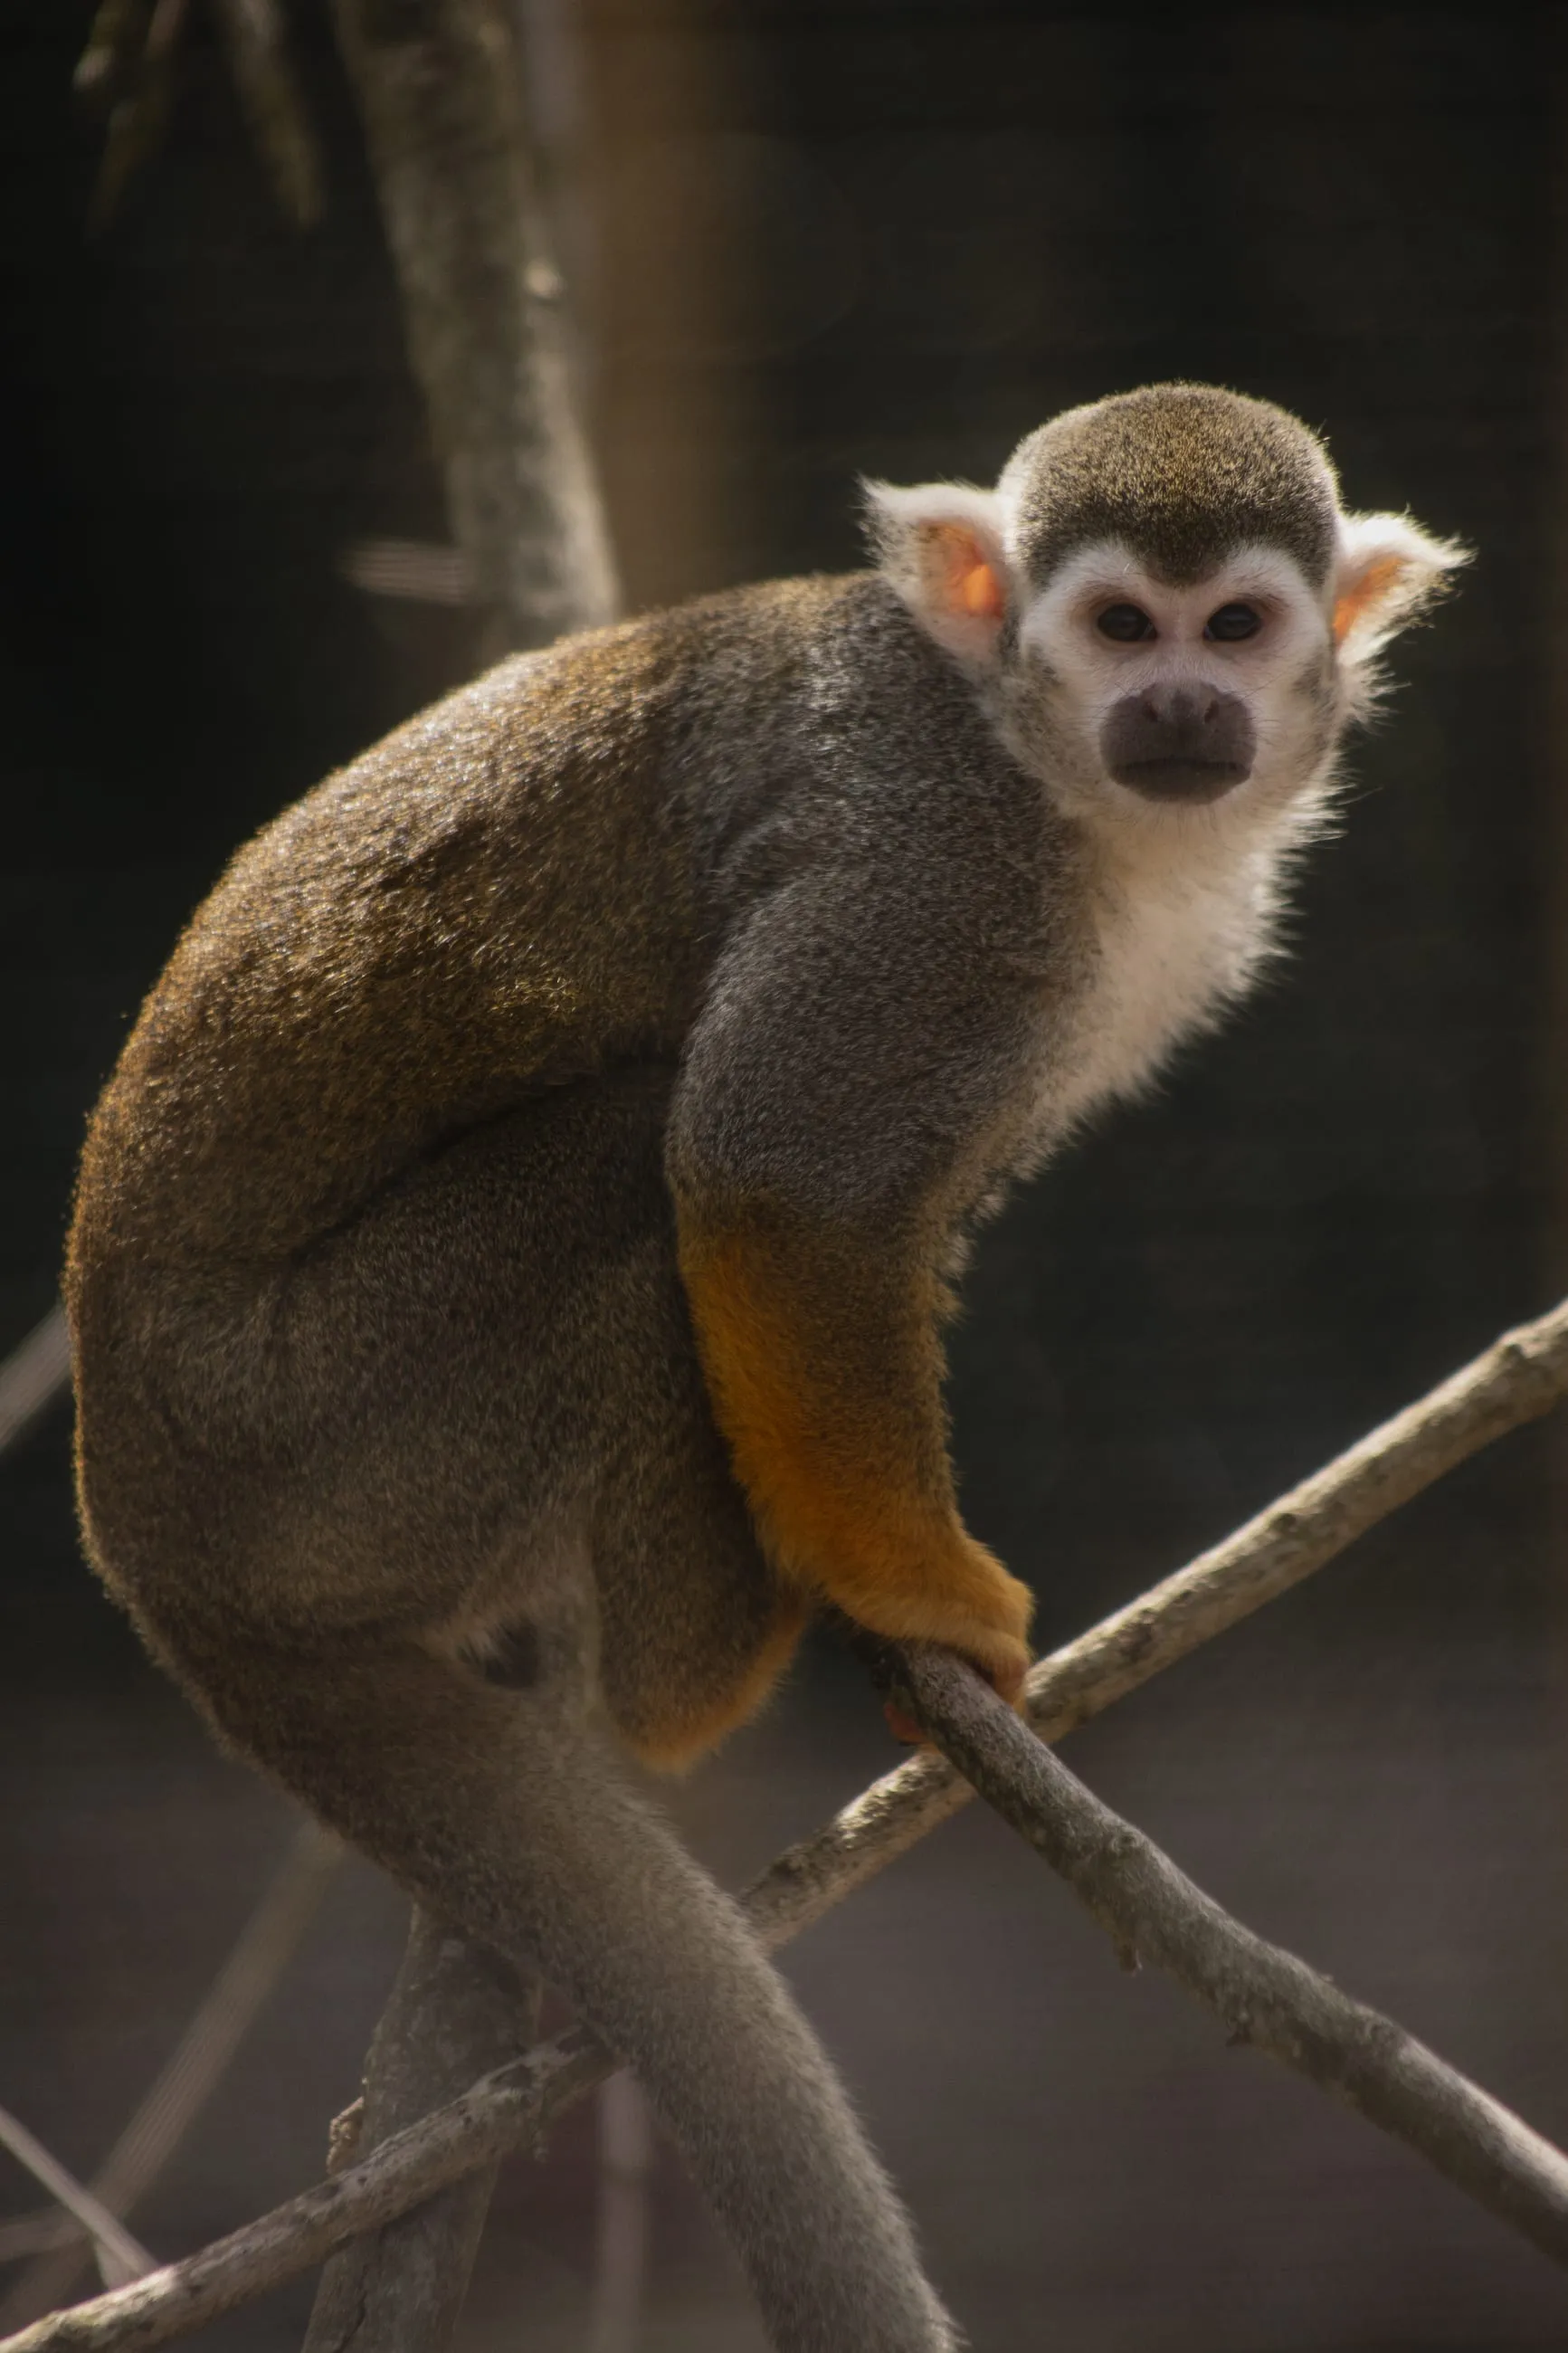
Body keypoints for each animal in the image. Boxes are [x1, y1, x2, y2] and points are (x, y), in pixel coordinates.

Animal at [66, 383, 1462, 2352]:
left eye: (1237, 627)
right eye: (1122, 625)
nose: (1182, 709)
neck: (1038, 768)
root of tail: (144, 1537)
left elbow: (883, 1217)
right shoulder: (926, 882)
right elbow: (767, 1180)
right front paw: (913, 1590)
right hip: (303, 1432)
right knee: (625, 1162)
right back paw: (690, 1670)